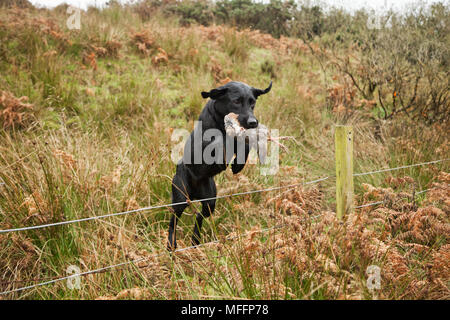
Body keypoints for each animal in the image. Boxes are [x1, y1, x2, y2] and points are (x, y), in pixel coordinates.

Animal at [166, 80, 268, 250]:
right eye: (236, 101)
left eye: (252, 102)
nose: (253, 122)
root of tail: (194, 195)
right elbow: (219, 141)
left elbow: (244, 144)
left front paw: (238, 165)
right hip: (180, 197)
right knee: (174, 220)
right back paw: (171, 244)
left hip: (210, 201)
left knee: (199, 217)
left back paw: (195, 240)